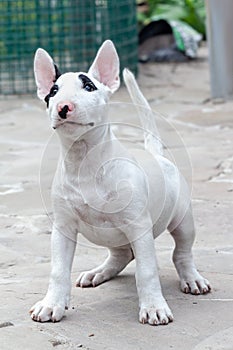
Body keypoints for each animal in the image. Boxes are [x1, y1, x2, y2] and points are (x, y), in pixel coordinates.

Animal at [29, 40, 211, 326]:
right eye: (53, 92)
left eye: (89, 86)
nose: (64, 107)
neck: (85, 162)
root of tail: (155, 154)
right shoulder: (63, 228)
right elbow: (58, 270)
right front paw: (51, 304)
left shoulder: (139, 227)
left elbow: (147, 270)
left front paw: (154, 307)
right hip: (112, 235)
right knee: (122, 254)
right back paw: (98, 272)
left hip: (183, 220)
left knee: (181, 252)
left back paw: (191, 278)